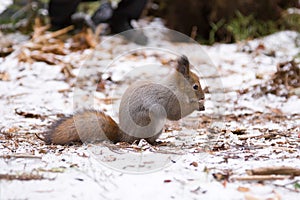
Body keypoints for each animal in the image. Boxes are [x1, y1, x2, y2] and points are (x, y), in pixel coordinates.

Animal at [42, 55, 205, 145]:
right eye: (195, 86)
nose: (203, 97)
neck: (176, 87)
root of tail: (125, 135)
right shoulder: (169, 99)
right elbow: (176, 114)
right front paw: (198, 106)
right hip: (150, 123)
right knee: (144, 140)